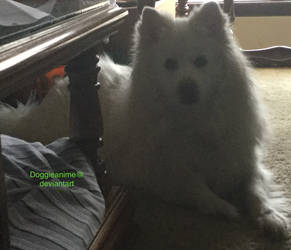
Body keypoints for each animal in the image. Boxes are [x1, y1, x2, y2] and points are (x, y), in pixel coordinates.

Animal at [1, 1, 290, 240]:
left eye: (201, 61)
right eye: (169, 64)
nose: (187, 88)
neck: (194, 116)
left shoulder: (244, 160)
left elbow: (256, 190)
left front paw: (272, 218)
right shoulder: (160, 174)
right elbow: (196, 188)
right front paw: (224, 207)